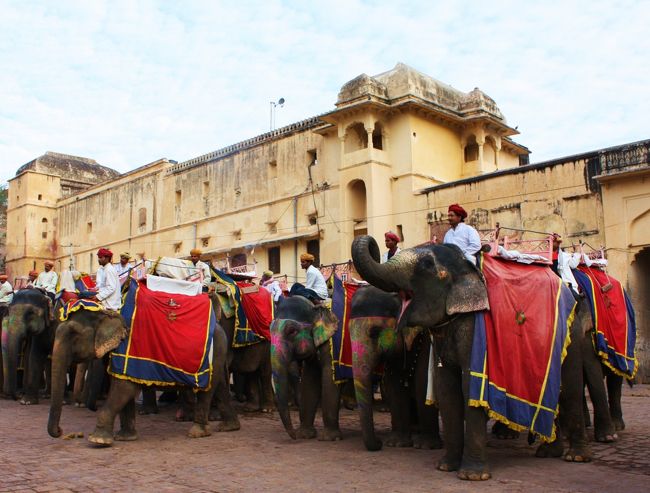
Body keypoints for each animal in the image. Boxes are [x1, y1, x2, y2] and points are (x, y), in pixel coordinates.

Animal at [268, 294, 340, 440]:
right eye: (269, 329)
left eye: (291, 331)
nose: (294, 435)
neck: (315, 307)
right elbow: (309, 381)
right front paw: (305, 435)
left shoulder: (332, 344)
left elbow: (330, 379)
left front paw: (330, 438)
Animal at [350, 284, 440, 450]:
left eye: (374, 332)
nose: (379, 443)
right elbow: (395, 385)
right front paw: (396, 443)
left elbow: (423, 382)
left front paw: (425, 446)